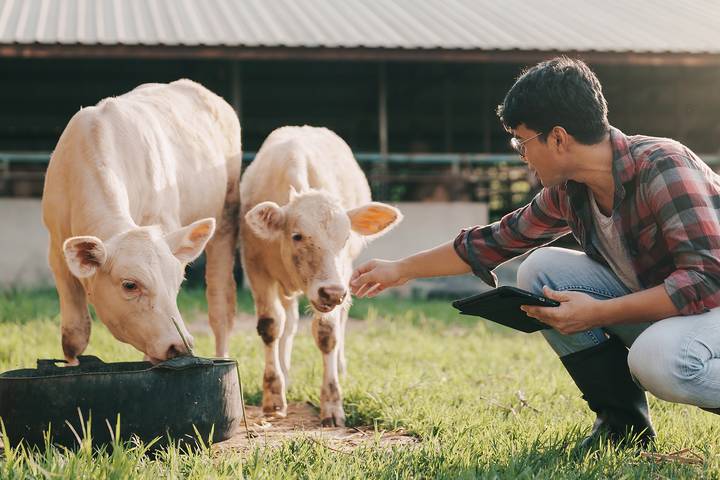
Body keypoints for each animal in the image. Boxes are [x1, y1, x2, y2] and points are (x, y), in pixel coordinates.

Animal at [42, 79, 242, 364]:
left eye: (178, 281)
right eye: (130, 285)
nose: (178, 345)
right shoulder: (57, 252)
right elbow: (74, 336)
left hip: (227, 216)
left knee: (220, 304)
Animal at [240, 125, 400, 426]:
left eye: (346, 236)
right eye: (297, 235)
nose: (332, 292)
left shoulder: (342, 277)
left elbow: (328, 334)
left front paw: (332, 404)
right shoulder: (256, 269)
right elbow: (270, 326)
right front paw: (273, 396)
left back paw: (340, 365)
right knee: (288, 323)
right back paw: (285, 373)